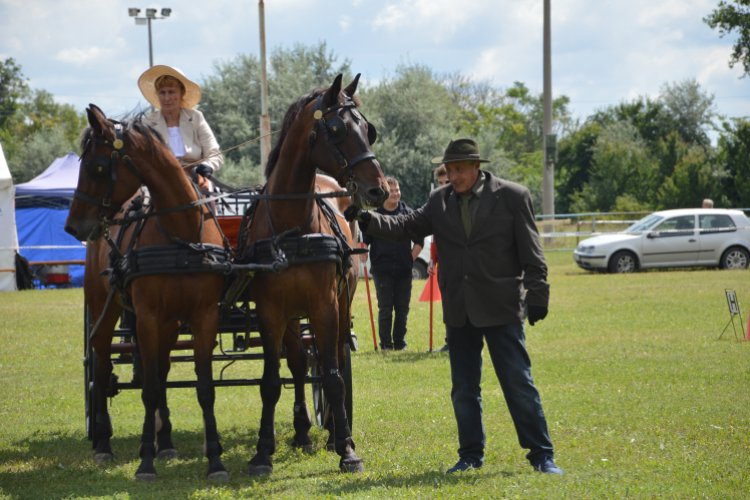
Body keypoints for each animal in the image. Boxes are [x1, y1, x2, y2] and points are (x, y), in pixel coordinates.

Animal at [64, 104, 229, 480]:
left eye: (96, 167)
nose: (72, 226)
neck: (182, 234)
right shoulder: (149, 317)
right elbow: (149, 389)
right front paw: (145, 463)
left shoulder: (203, 317)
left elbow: (204, 389)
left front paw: (214, 460)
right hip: (106, 311)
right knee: (102, 367)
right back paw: (104, 445)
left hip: (166, 324)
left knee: (162, 371)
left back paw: (164, 441)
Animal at [241, 72, 390, 474]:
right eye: (337, 129)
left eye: (368, 130)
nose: (379, 190)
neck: (292, 228)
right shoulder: (270, 312)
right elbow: (271, 380)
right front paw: (263, 451)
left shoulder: (325, 306)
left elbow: (334, 378)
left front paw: (347, 449)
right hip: (293, 315)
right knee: (297, 364)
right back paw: (303, 431)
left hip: (341, 302)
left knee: (332, 357)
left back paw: (337, 432)